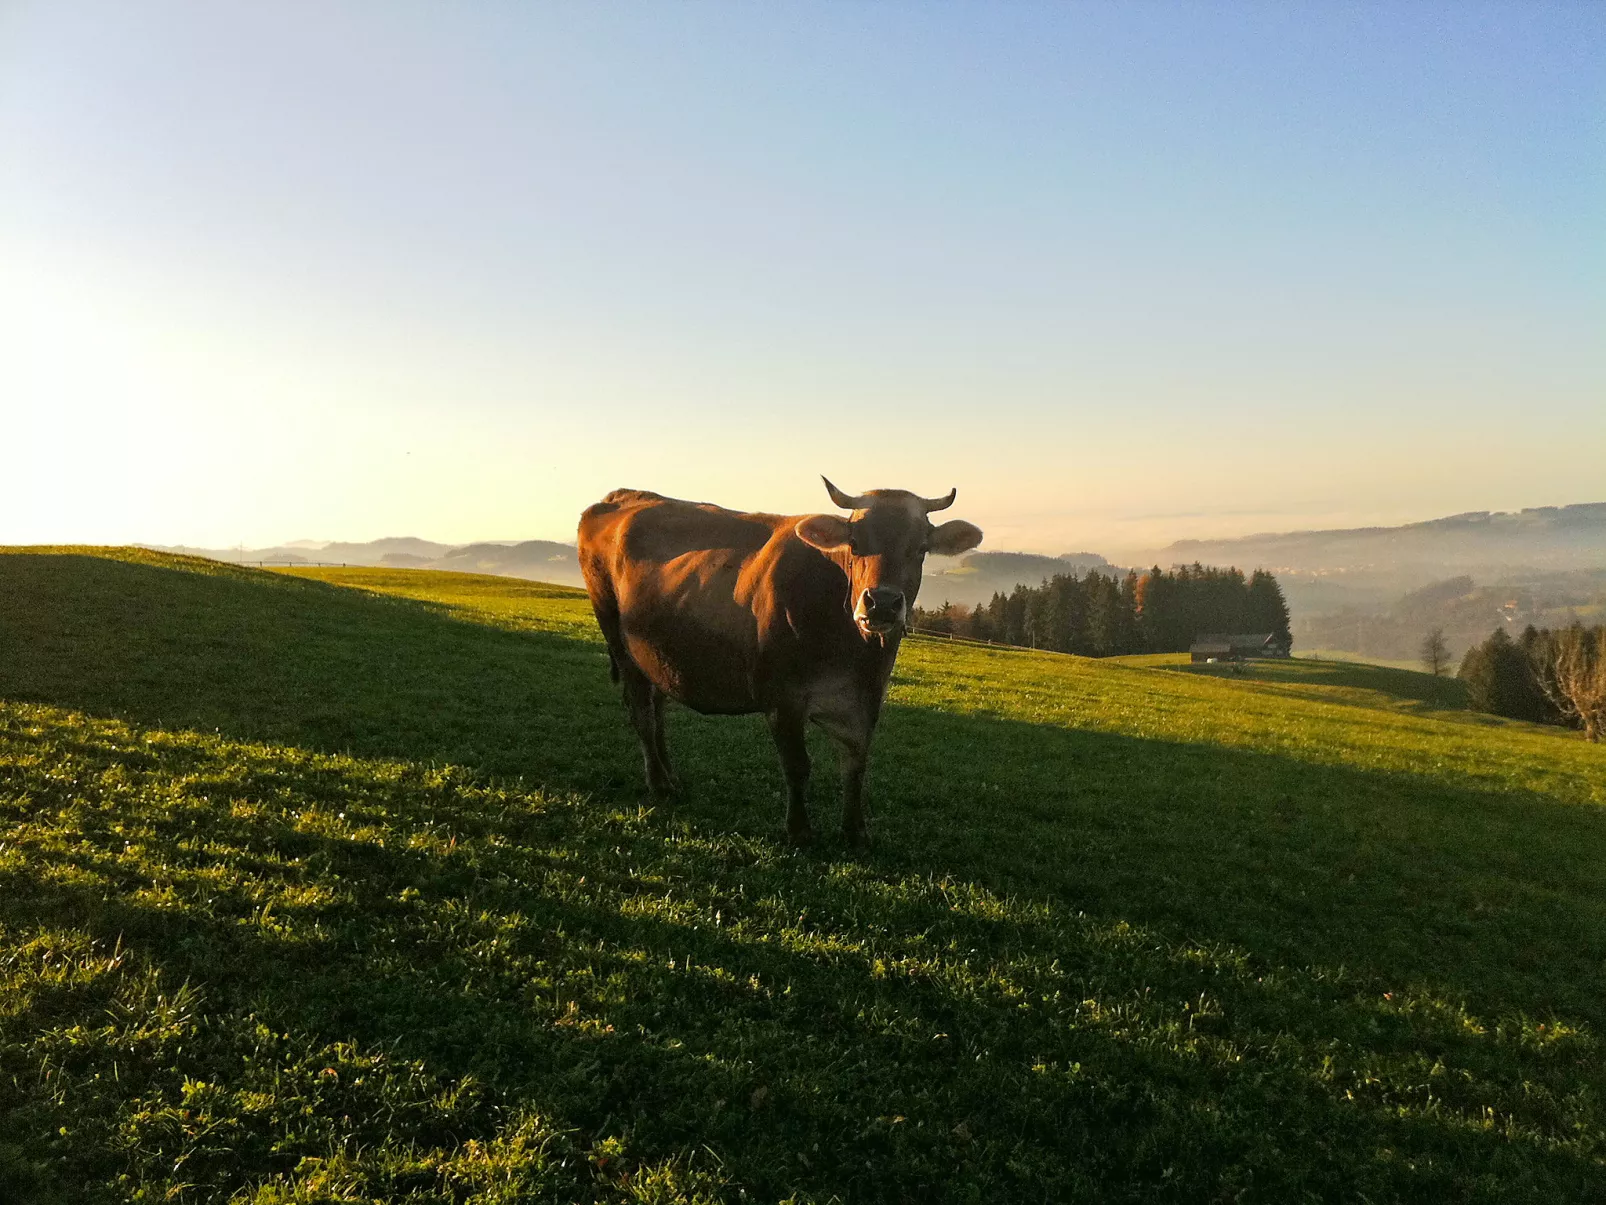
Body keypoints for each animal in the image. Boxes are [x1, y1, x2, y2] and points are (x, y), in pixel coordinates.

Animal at [578, 475, 976, 841]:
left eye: (920, 548)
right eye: (854, 543)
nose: (881, 603)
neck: (851, 650)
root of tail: (619, 497)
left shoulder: (865, 701)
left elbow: (855, 766)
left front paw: (854, 832)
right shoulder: (782, 697)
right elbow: (797, 765)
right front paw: (799, 831)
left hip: (658, 654)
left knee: (658, 708)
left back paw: (670, 776)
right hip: (619, 640)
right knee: (641, 713)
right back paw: (658, 783)